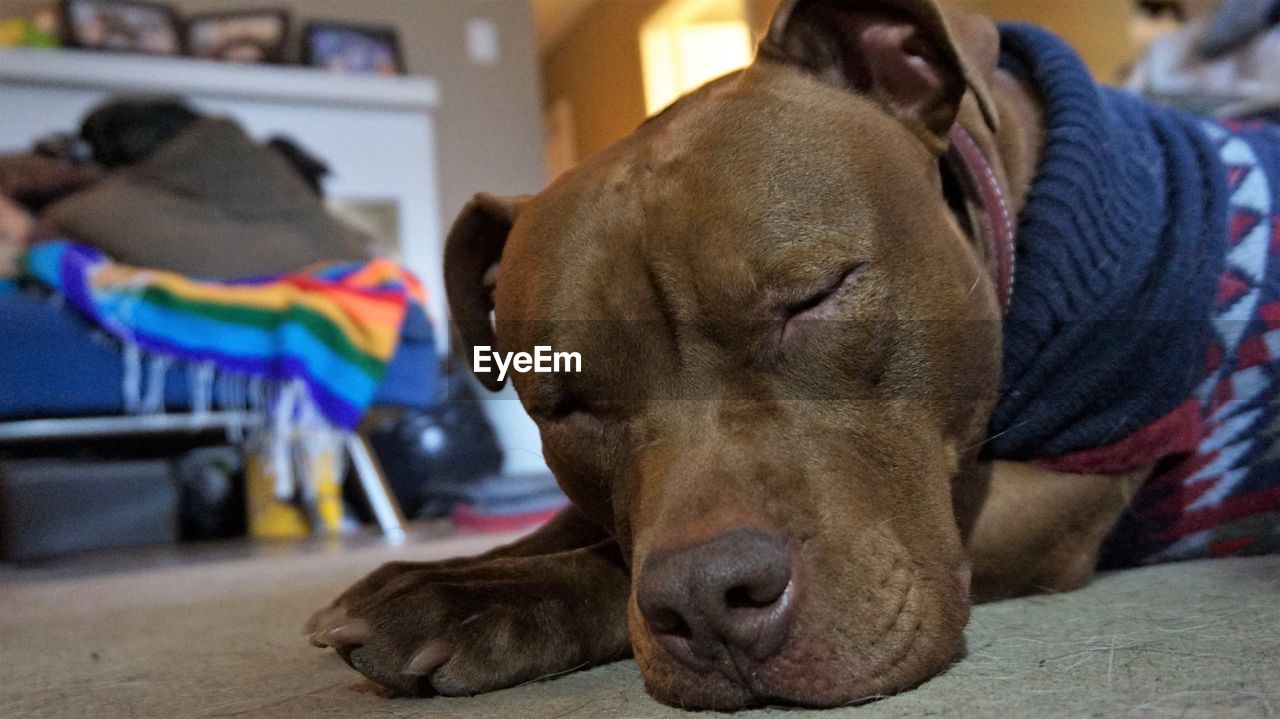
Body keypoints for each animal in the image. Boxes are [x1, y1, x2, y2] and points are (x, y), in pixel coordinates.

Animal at [307, 0, 1280, 706]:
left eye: (814, 296)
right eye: (566, 403)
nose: (706, 600)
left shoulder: (1058, 490)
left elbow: (611, 560)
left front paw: (475, 602)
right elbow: (587, 524)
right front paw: (434, 571)